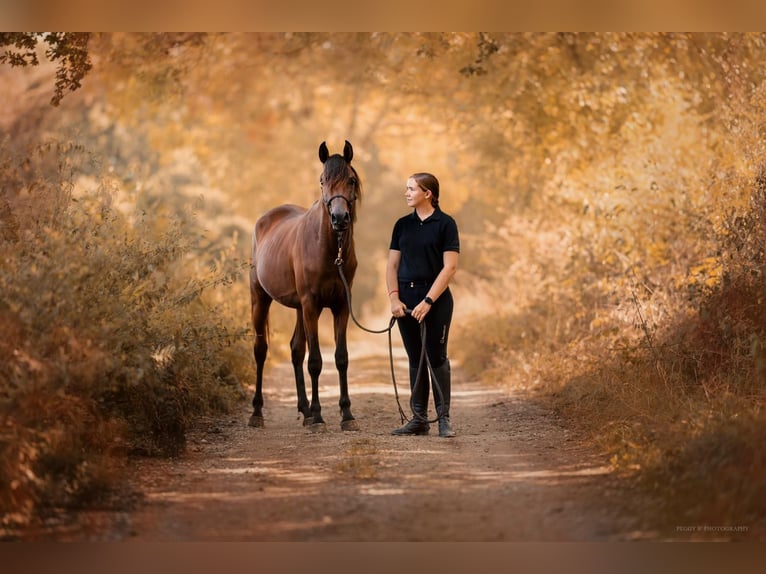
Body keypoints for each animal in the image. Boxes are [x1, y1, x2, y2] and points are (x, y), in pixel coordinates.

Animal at [249, 142, 364, 432]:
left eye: (351, 180)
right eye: (323, 180)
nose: (339, 218)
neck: (328, 249)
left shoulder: (340, 306)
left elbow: (341, 358)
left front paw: (347, 415)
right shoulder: (312, 305)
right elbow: (316, 361)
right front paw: (319, 417)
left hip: (300, 308)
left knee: (296, 349)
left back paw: (304, 410)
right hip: (261, 299)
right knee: (261, 350)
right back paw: (257, 413)